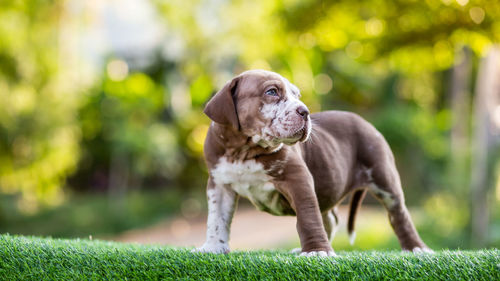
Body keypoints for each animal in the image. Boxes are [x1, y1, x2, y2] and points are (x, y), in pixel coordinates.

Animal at [193, 69, 432, 255]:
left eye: (297, 95)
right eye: (272, 92)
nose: (305, 111)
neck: (245, 150)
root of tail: (364, 120)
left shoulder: (298, 179)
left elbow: (308, 217)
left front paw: (317, 251)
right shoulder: (219, 185)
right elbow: (217, 219)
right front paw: (213, 247)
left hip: (383, 176)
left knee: (399, 214)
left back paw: (416, 248)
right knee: (331, 217)